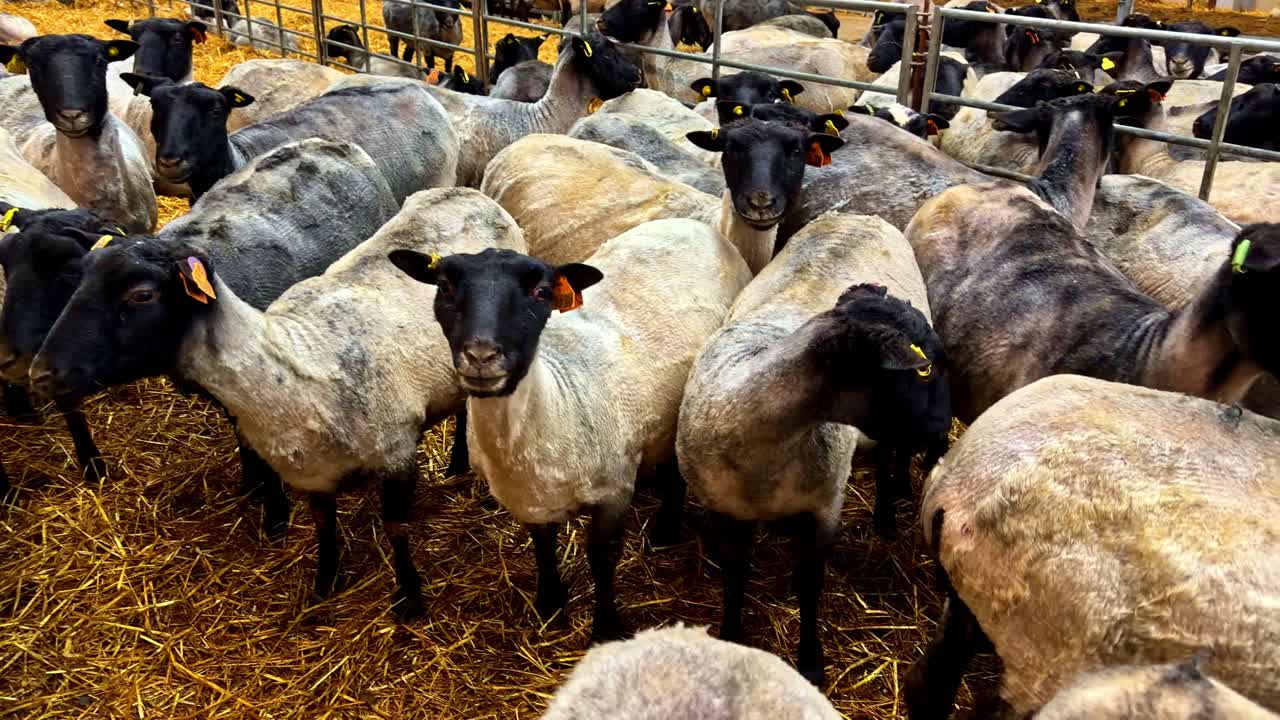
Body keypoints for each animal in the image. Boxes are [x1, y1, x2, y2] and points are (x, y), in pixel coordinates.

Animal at [29, 138, 402, 537]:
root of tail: (331, 142)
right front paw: (251, 486)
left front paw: (275, 516)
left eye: (142, 295)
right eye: (77, 279)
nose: (41, 373)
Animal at [390, 218, 752, 641]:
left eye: (541, 292)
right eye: (445, 286)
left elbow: (602, 557)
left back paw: (664, 530)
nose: (481, 356)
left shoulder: (614, 491)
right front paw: (549, 601)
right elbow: (542, 544)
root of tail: (692, 224)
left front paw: (606, 629)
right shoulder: (530, 500)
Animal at [677, 215, 949, 683]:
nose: (945, 427)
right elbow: (735, 575)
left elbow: (809, 583)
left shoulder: (826, 506)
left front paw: (811, 662)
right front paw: (731, 634)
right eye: (923, 370)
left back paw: (885, 515)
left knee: (889, 455)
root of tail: (862, 217)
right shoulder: (725, 509)